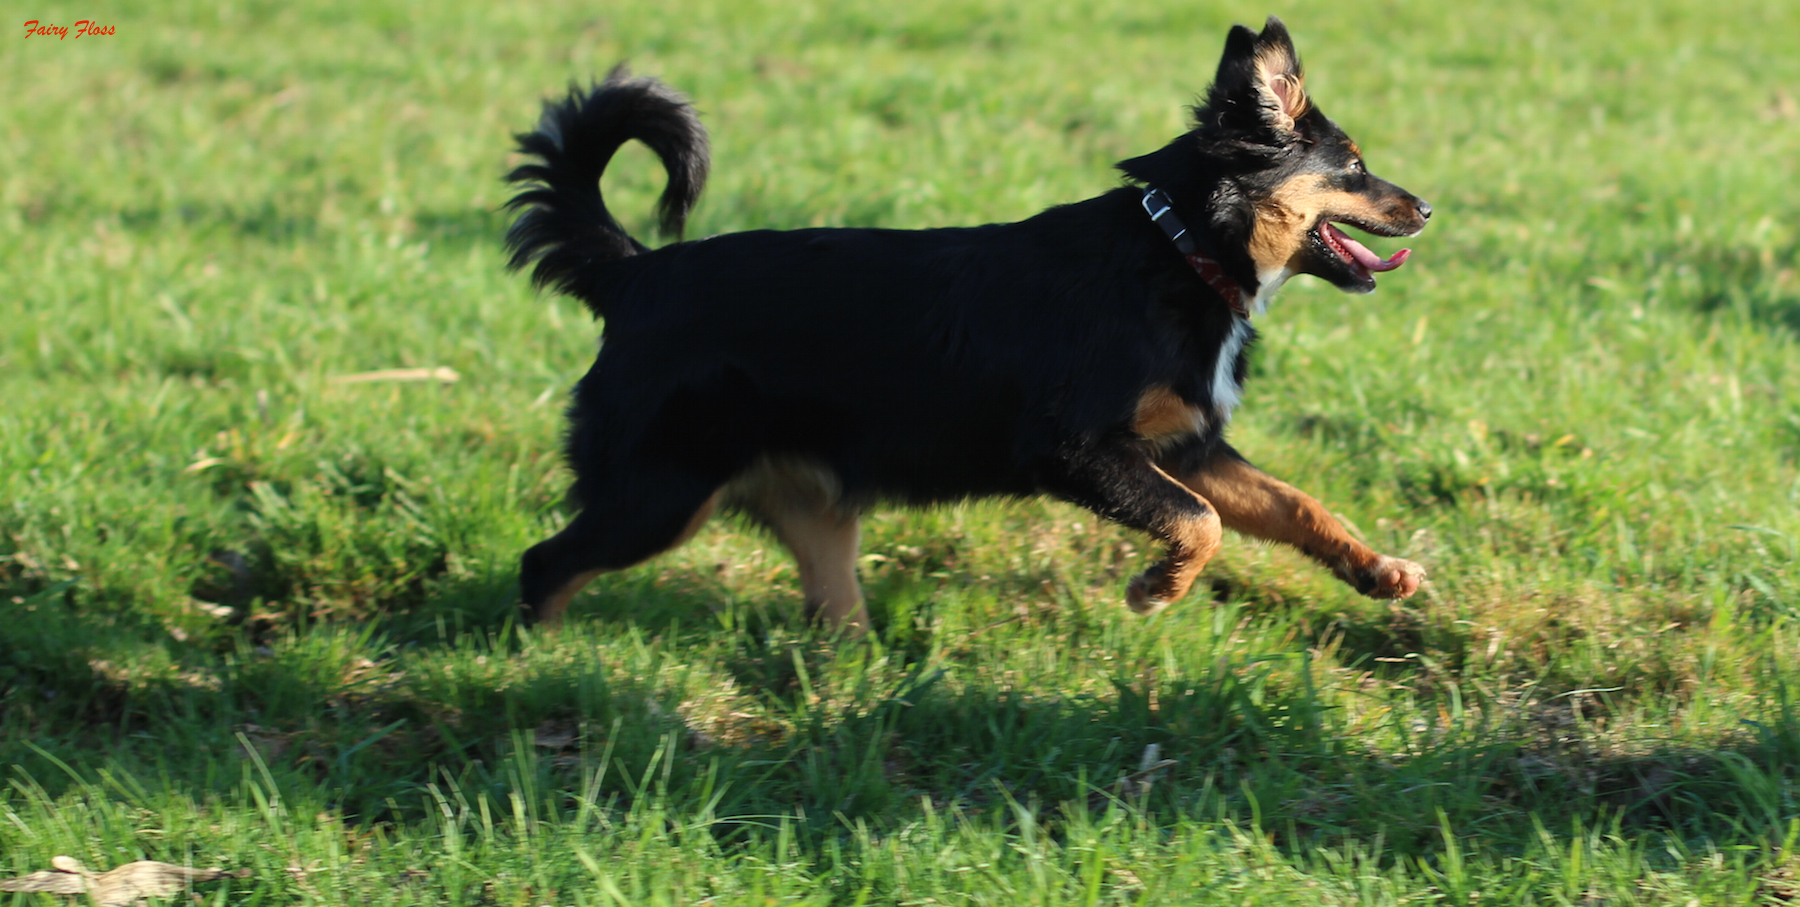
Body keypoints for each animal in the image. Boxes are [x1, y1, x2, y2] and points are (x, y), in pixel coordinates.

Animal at [507, 17, 1432, 633]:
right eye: (1355, 166)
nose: (1426, 207)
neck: (1180, 250)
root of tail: (635, 272)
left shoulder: (1187, 446)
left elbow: (1295, 504)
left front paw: (1378, 570)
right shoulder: (1075, 447)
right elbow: (1199, 521)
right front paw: (1155, 590)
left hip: (803, 505)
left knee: (831, 609)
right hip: (659, 491)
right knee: (544, 564)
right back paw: (548, 665)